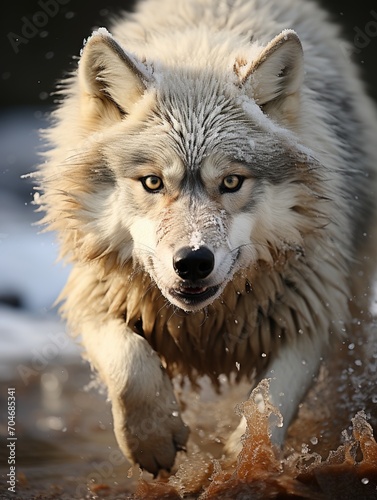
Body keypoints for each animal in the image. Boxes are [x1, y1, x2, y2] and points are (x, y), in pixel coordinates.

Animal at [35, 0, 376, 474]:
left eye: (231, 182)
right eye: (153, 182)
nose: (193, 261)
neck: (201, 326)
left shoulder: (311, 308)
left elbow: (272, 399)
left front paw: (249, 459)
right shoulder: (95, 295)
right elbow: (130, 365)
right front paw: (152, 440)